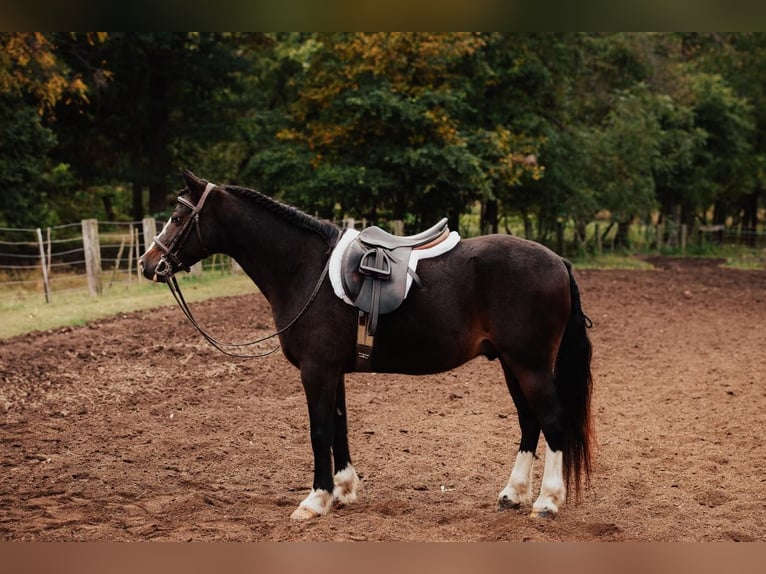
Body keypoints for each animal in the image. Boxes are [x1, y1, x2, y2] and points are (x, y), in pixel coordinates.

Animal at [140, 170, 592, 520]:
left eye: (178, 216)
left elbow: (319, 430)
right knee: (530, 422)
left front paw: (315, 500)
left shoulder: (316, 370)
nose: (147, 264)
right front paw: (342, 490)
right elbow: (339, 427)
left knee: (552, 421)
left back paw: (547, 502)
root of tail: (558, 261)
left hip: (530, 364)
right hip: (512, 364)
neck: (305, 268)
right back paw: (513, 494)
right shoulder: (332, 370)